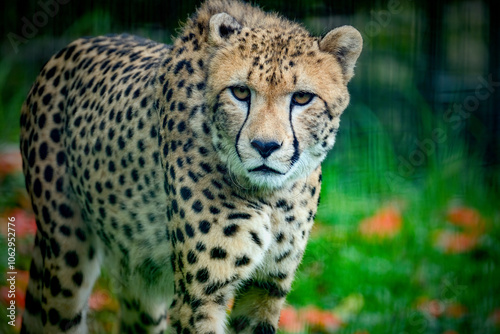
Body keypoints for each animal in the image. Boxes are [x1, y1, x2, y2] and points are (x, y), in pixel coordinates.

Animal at [20, 1, 364, 332]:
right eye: (240, 91)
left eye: (303, 97)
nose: (265, 146)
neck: (272, 197)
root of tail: (71, 47)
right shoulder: (200, 297)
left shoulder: (266, 289)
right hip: (65, 254)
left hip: (140, 280)